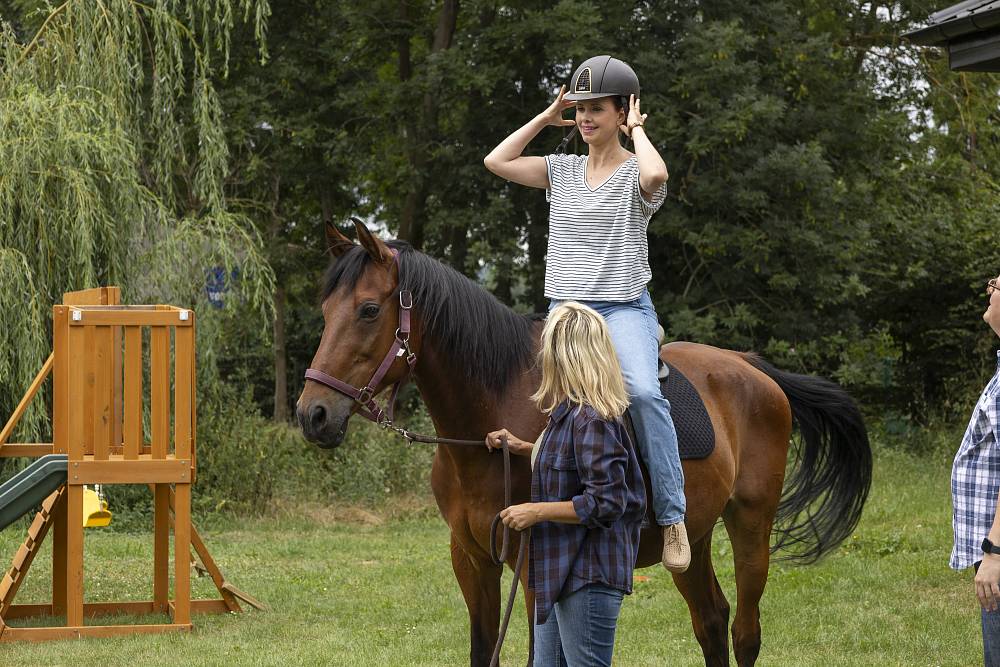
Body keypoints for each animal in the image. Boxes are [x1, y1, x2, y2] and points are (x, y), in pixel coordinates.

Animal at [296, 222, 868, 664]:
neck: (485, 426)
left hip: (751, 525)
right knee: (711, 620)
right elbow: (484, 651)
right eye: (324, 310)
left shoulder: (533, 569)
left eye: (369, 310)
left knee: (744, 632)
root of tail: (749, 367)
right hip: (694, 537)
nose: (312, 414)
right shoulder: (473, 561)